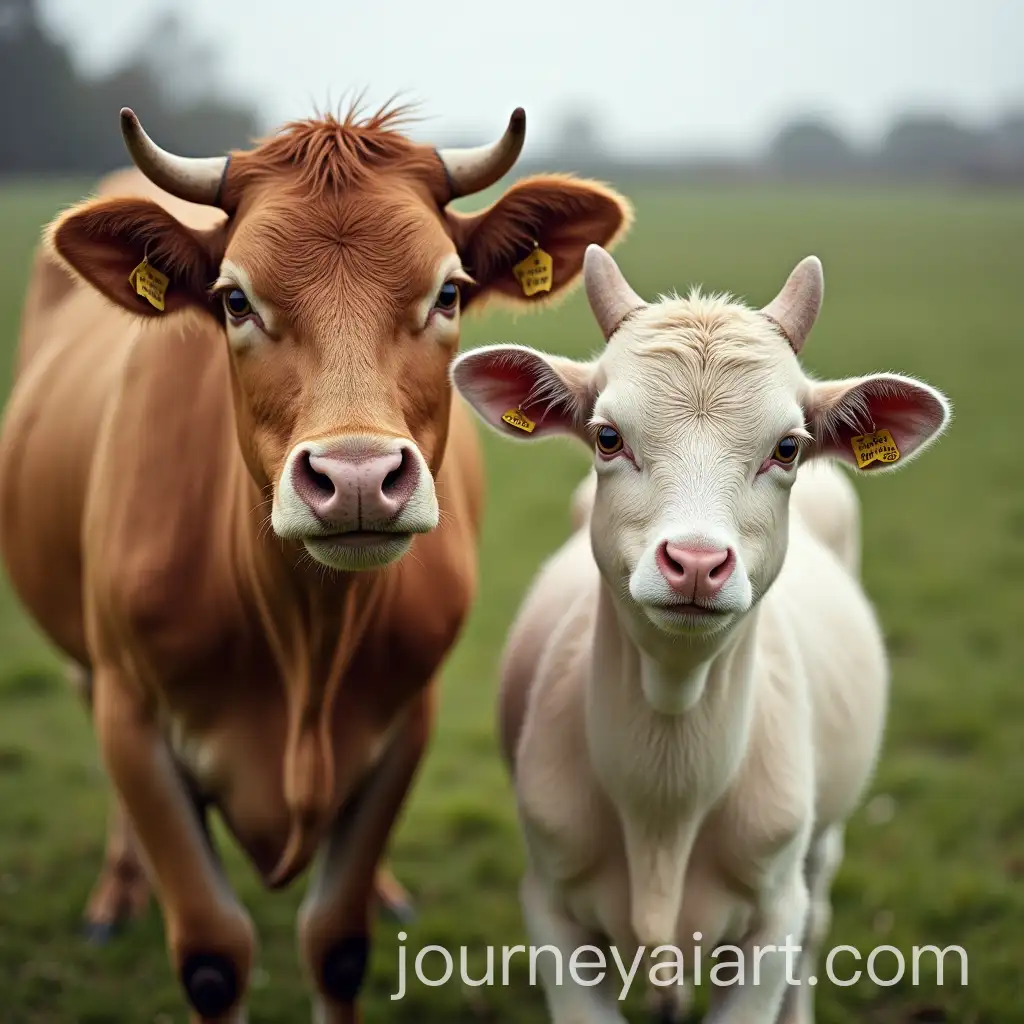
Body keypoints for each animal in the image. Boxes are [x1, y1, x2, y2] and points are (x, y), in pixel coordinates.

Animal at [0, 106, 632, 1022]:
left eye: (448, 292)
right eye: (234, 300)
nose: (359, 478)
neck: (303, 639)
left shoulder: (405, 720)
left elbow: (336, 942)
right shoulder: (134, 717)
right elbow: (213, 954)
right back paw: (116, 893)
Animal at [451, 245, 951, 1024]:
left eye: (788, 448)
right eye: (607, 437)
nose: (694, 563)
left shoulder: (772, 916)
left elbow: (785, 947)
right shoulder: (552, 908)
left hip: (821, 844)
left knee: (817, 923)